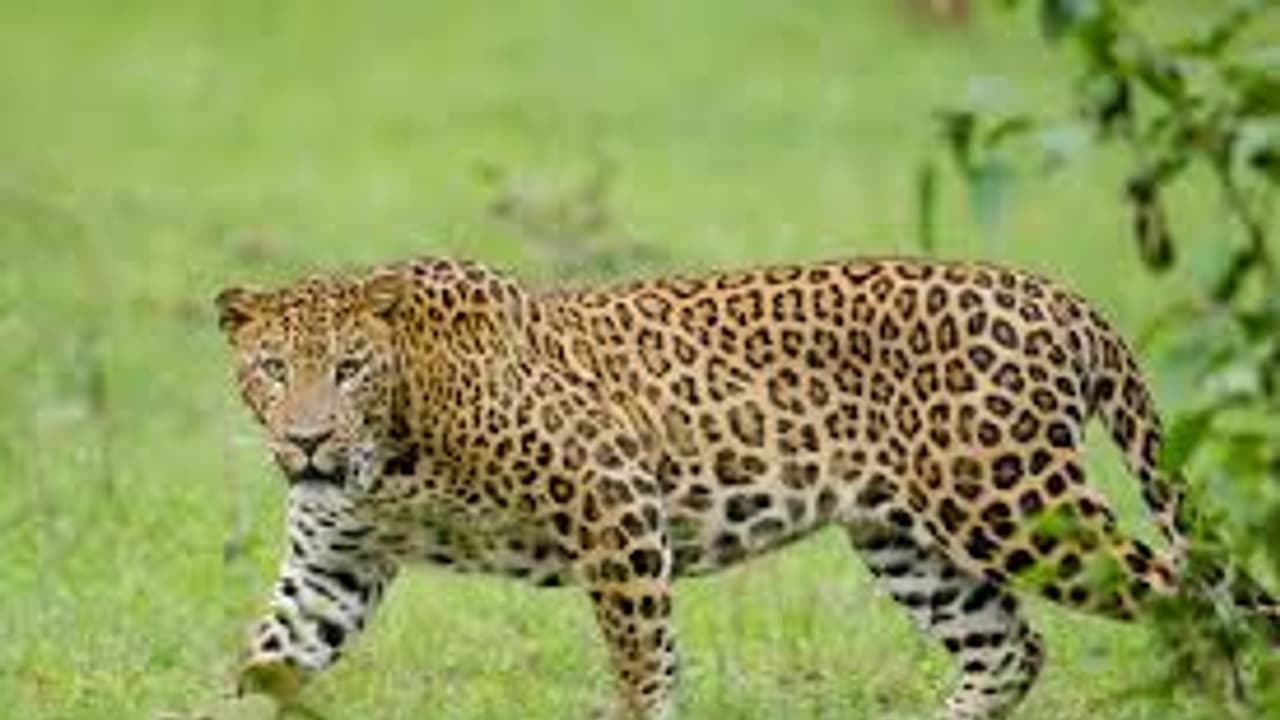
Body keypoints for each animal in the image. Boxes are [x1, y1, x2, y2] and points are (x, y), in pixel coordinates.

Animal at [214, 255, 1278, 720]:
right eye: (270, 370)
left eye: (349, 368)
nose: (305, 441)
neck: (392, 450)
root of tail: (1062, 298)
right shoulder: (332, 569)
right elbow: (264, 661)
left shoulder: (615, 504)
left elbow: (643, 665)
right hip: (908, 538)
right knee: (1010, 647)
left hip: (1014, 505)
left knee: (1192, 599)